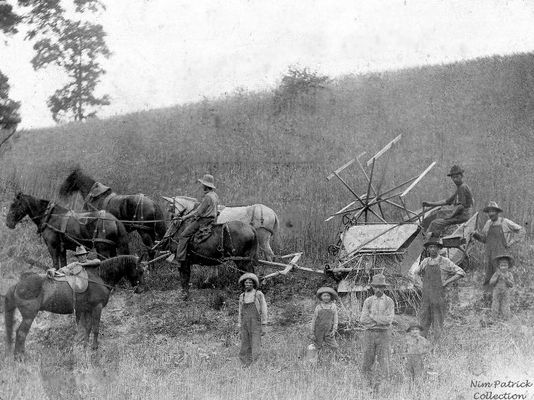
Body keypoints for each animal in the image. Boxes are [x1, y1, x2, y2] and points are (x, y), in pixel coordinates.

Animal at [4, 256, 146, 356]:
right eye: (140, 270)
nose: (141, 289)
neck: (99, 276)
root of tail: (17, 284)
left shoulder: (87, 310)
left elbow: (87, 328)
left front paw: (85, 346)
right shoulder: (97, 308)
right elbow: (96, 328)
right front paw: (94, 348)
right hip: (29, 316)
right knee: (21, 333)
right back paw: (20, 357)